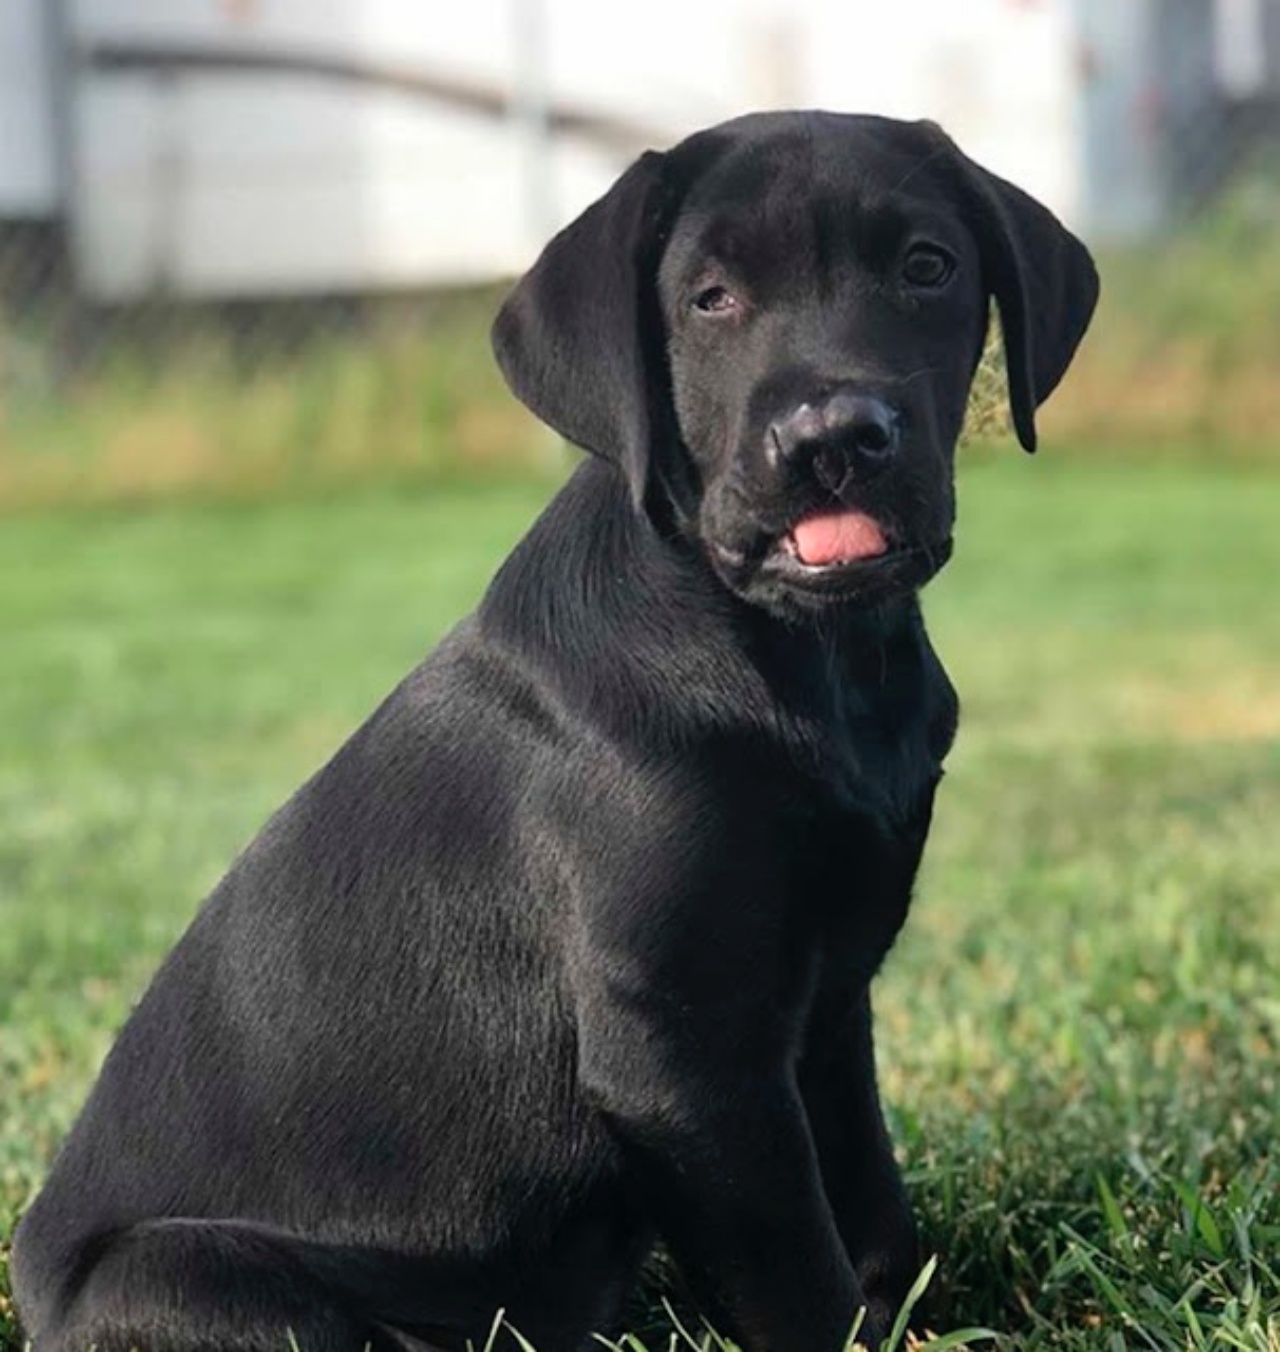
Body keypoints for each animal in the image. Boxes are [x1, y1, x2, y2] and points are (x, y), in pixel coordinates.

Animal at [10, 113, 1097, 1352]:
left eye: (925, 266)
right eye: (708, 297)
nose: (834, 439)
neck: (805, 654)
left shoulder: (825, 1007)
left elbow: (869, 1203)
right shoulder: (678, 1047)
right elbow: (795, 1268)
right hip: (198, 1277)